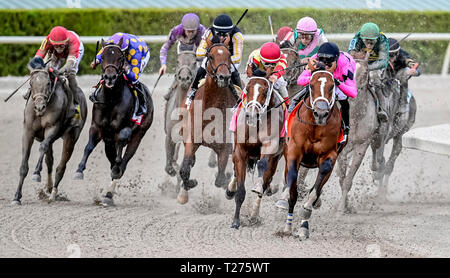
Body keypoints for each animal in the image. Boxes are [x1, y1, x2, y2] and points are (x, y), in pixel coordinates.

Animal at [13, 59, 87, 204]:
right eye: (31, 83)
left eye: (48, 83)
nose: (39, 107)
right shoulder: (28, 131)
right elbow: (24, 165)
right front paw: (17, 196)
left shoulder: (52, 128)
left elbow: (42, 146)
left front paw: (36, 173)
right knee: (50, 162)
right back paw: (48, 188)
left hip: (71, 137)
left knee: (61, 167)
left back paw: (53, 194)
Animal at [72, 38, 153, 205]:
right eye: (102, 57)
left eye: (120, 58)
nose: (110, 77)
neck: (111, 100)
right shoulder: (97, 128)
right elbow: (88, 147)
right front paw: (79, 170)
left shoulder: (121, 130)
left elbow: (120, 151)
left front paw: (116, 169)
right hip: (108, 141)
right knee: (113, 159)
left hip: (139, 134)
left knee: (124, 161)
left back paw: (110, 192)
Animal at [178, 35, 237, 204]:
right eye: (211, 56)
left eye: (229, 55)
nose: (224, 77)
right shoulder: (191, 139)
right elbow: (184, 170)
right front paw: (190, 184)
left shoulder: (224, 147)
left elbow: (220, 179)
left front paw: (228, 187)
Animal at [227, 73, 286, 229]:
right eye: (247, 89)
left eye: (265, 92)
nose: (252, 114)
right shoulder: (240, 150)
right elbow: (240, 190)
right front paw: (236, 221)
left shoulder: (270, 146)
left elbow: (263, 166)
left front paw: (258, 187)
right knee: (235, 171)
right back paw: (230, 189)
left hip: (275, 159)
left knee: (266, 179)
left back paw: (254, 214)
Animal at [284, 65, 340, 239]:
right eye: (311, 85)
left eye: (332, 86)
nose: (320, 113)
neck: (315, 126)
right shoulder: (294, 152)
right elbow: (293, 190)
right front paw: (288, 226)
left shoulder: (330, 155)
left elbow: (315, 190)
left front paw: (304, 223)